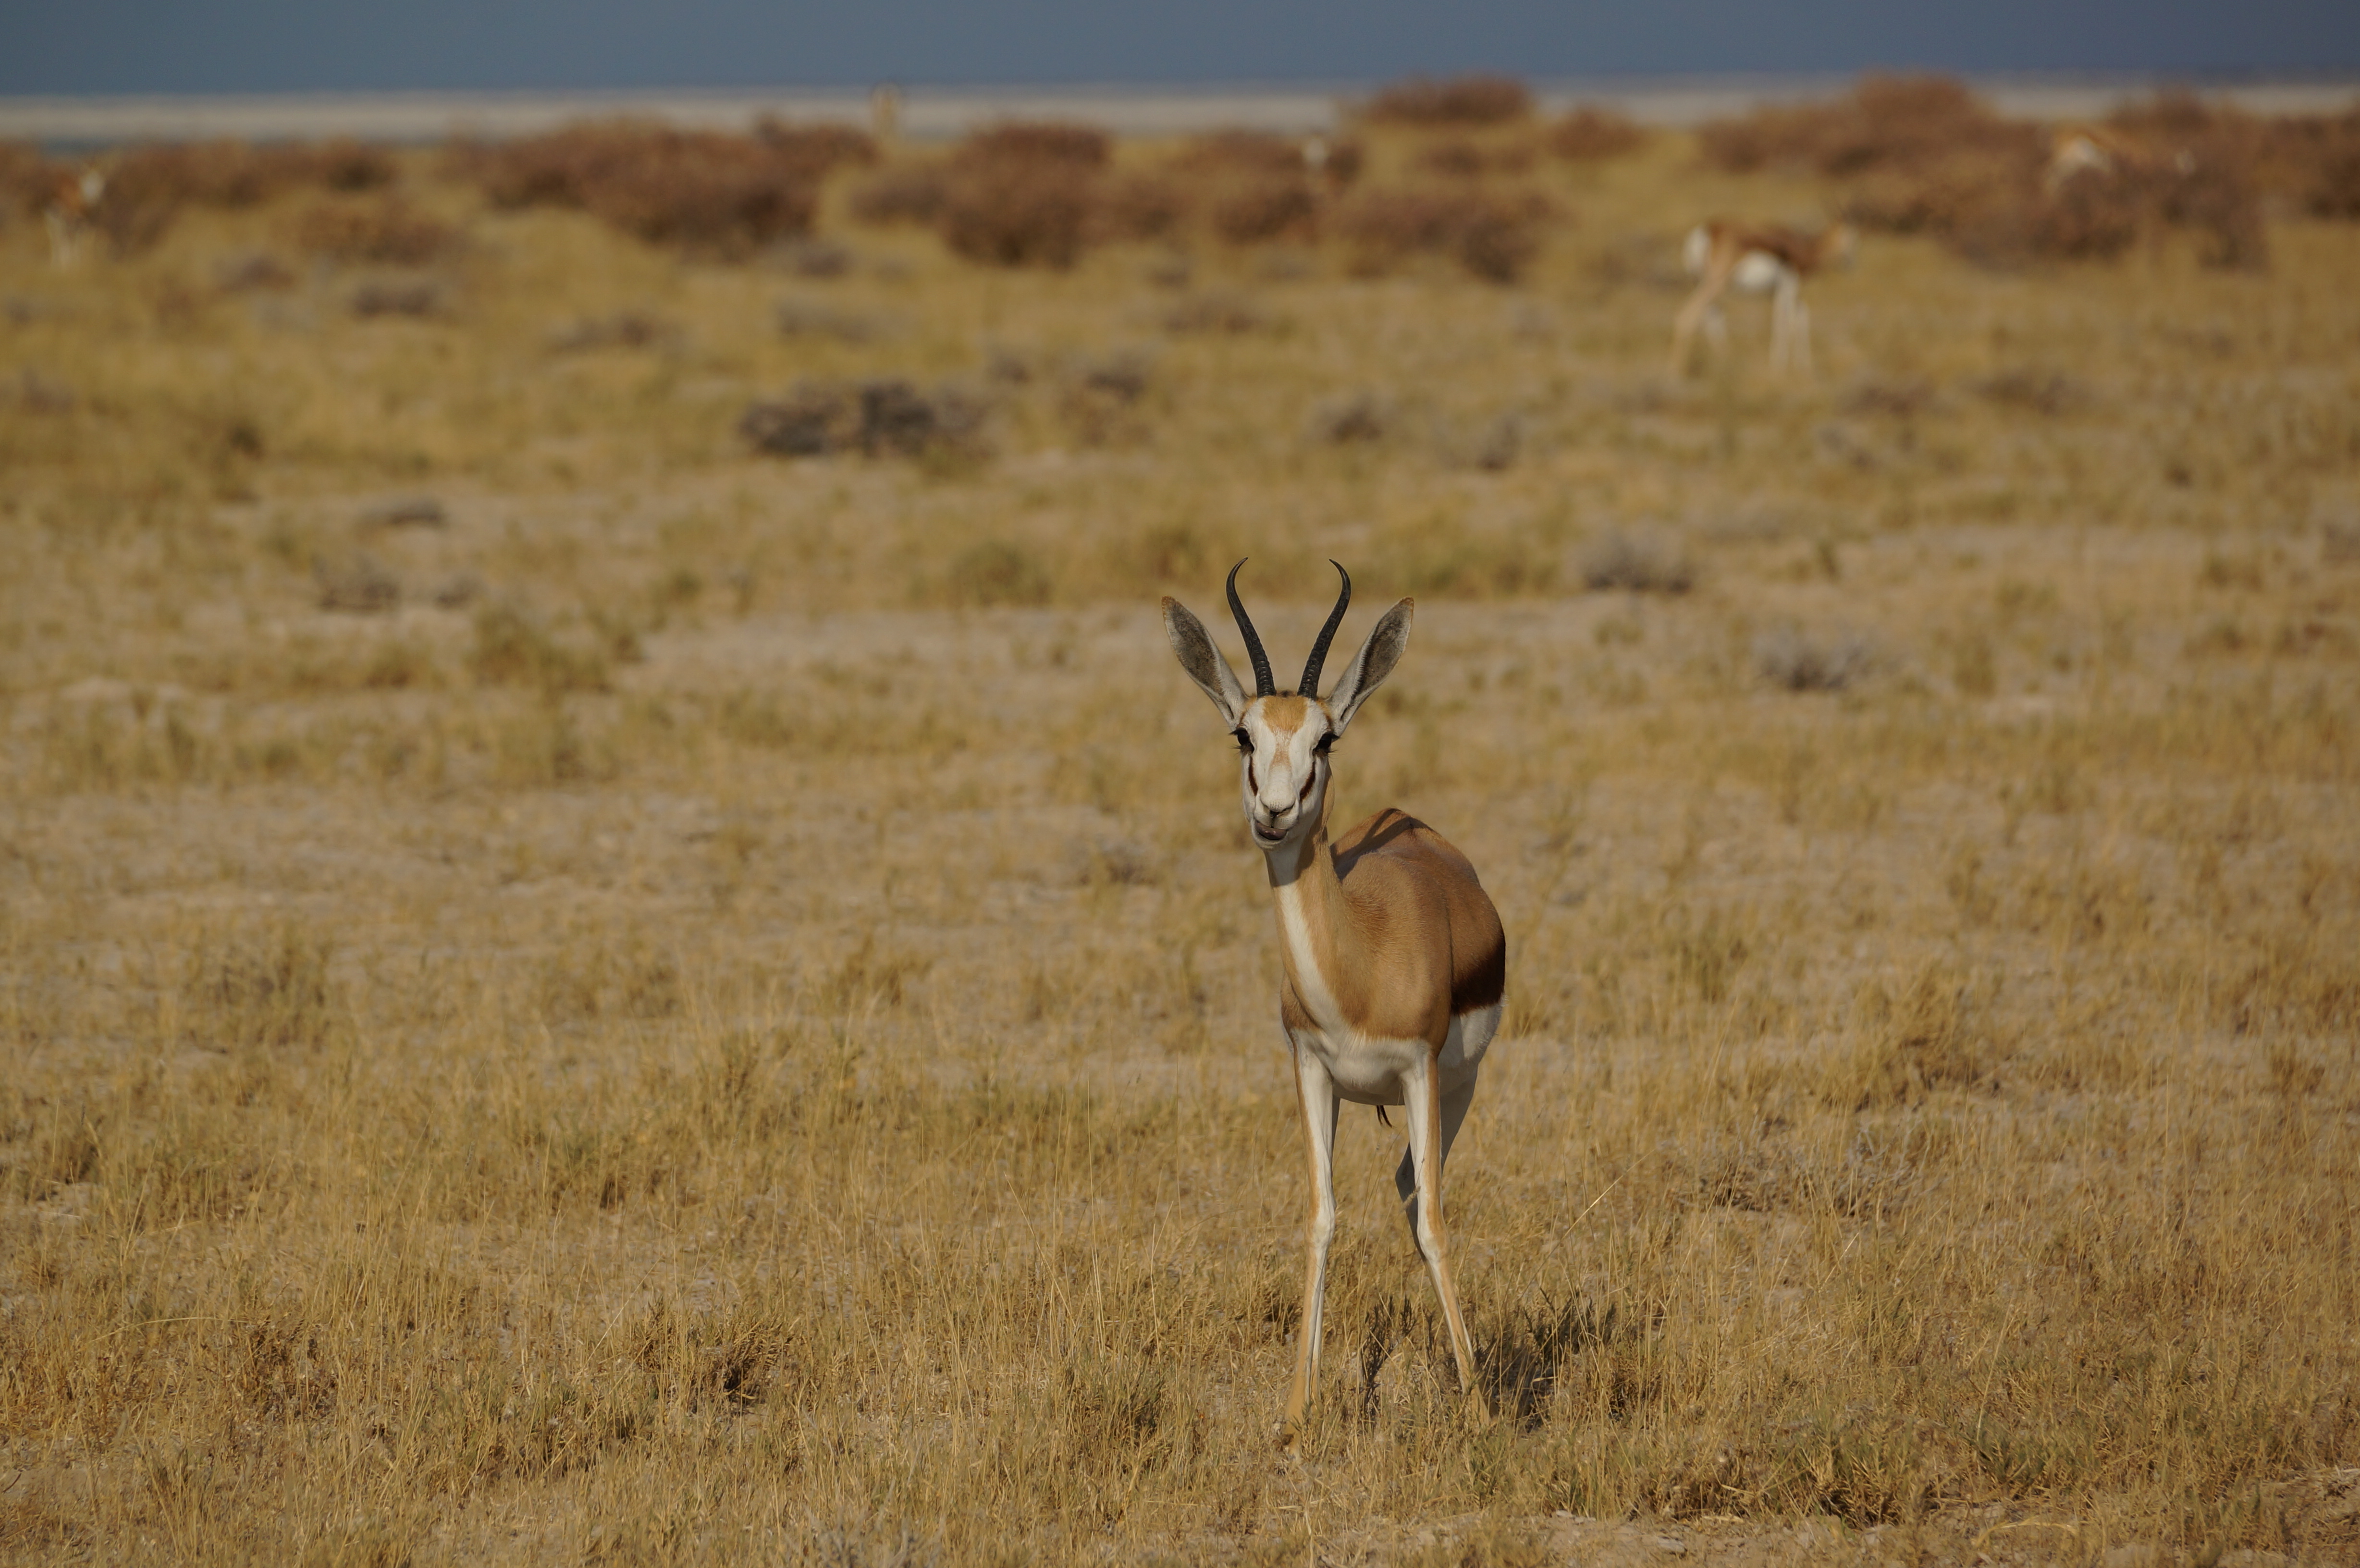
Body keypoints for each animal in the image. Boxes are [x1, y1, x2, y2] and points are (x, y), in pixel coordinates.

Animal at [1162, 561, 1506, 1447]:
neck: (1360, 959)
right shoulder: (1311, 1071)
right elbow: (1321, 1215)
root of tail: (1407, 823)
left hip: (1459, 1088)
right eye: (1243, 734)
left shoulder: (1420, 1072)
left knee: (1418, 1193)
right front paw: (1295, 1410)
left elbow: (1434, 1219)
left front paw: (1480, 1408)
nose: (1275, 813)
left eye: (1325, 739)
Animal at [1668, 219, 1856, 378]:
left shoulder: (1778, 293)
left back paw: (1725, 364)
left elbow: (1801, 317)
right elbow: (1786, 321)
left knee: (1712, 319)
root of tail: (1704, 233)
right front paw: (1780, 368)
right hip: (1715, 284)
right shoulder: (1788, 287)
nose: (1852, 262)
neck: (1804, 249)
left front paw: (1803, 367)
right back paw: (1678, 370)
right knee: (1687, 316)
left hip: (1703, 284)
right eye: (1852, 238)